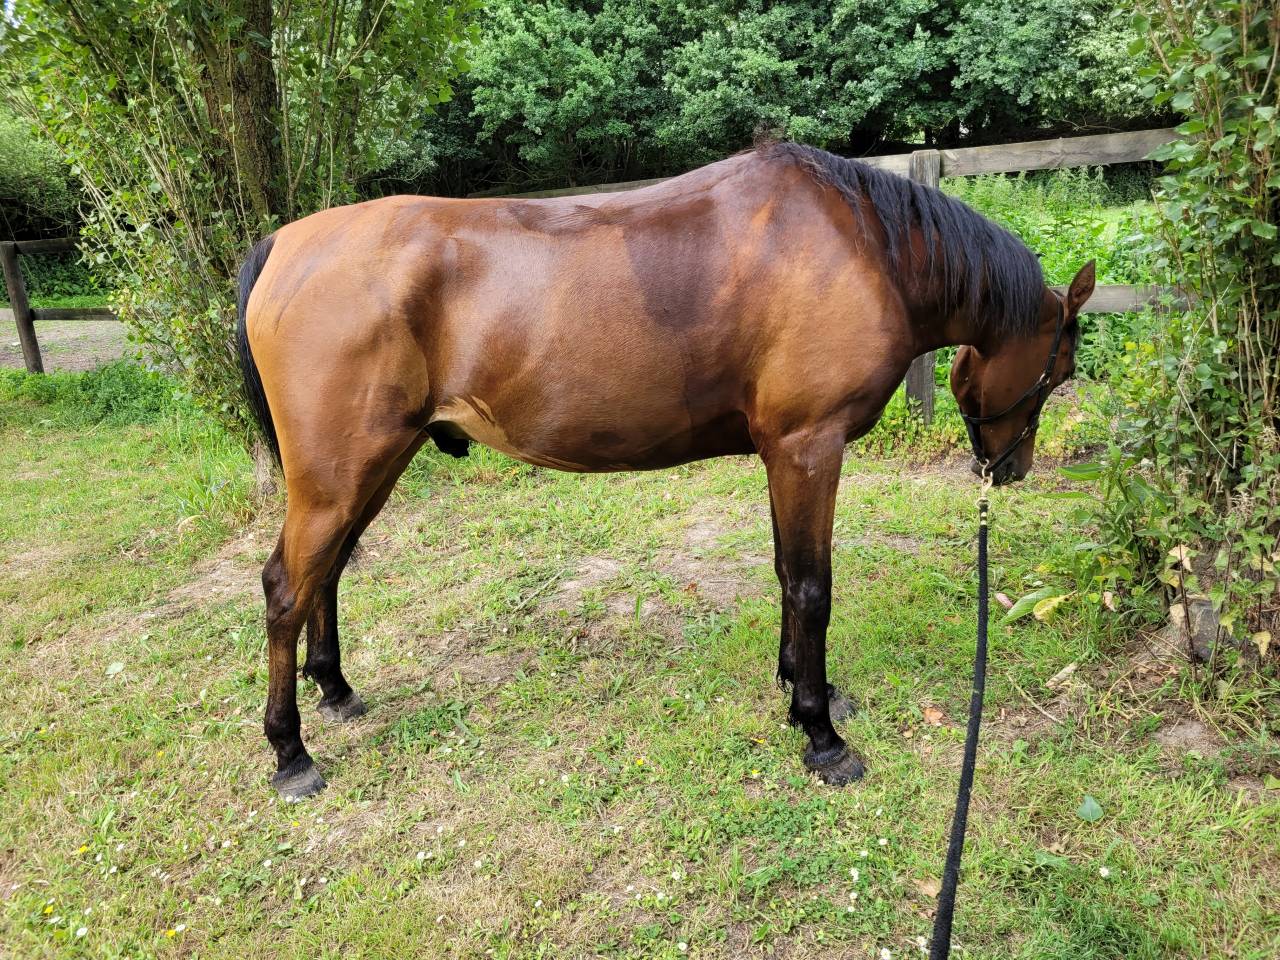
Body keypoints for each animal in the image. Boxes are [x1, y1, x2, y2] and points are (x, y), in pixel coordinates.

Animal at [237, 141, 1093, 799]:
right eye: (1060, 371)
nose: (1010, 470)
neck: (859, 248)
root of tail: (286, 245)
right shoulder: (810, 446)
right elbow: (811, 588)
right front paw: (821, 735)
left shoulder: (783, 453)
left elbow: (785, 573)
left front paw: (797, 689)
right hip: (340, 475)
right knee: (287, 587)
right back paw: (291, 753)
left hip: (369, 467)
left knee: (329, 570)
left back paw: (335, 689)